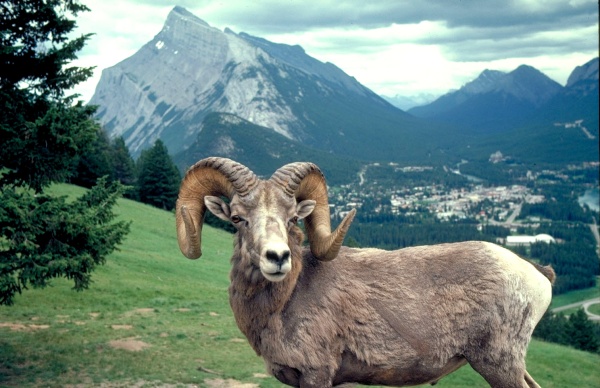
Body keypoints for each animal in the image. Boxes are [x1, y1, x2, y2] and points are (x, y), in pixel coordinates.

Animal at [176, 156, 556, 386]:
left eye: (293, 218)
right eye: (237, 218)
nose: (278, 257)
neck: (283, 305)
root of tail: (537, 275)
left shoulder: (316, 374)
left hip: (499, 366)